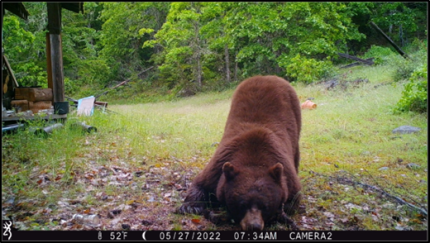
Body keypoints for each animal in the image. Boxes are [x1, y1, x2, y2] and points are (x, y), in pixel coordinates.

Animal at [176, 75, 300, 231]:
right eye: (242, 205)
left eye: (264, 206)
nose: (254, 226)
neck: (254, 157)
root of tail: (268, 76)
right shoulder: (220, 162)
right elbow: (200, 183)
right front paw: (190, 207)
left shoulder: (285, 170)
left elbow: (294, 198)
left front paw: (280, 213)